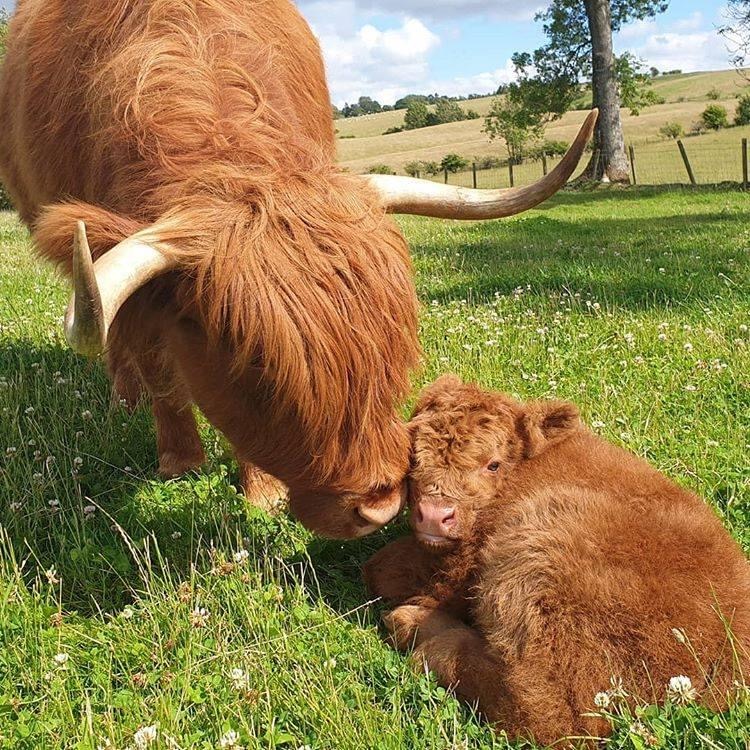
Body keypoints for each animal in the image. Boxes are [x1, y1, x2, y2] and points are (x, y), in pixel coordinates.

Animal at [0, 0, 600, 540]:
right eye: (257, 376)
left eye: (394, 353)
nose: (381, 507)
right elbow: (159, 369)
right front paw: (181, 463)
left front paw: (262, 491)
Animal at [366, 378, 750, 744]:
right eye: (414, 459)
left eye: (493, 464)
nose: (434, 515)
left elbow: (383, 569)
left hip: (538, 556)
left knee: (549, 714)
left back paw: (420, 634)